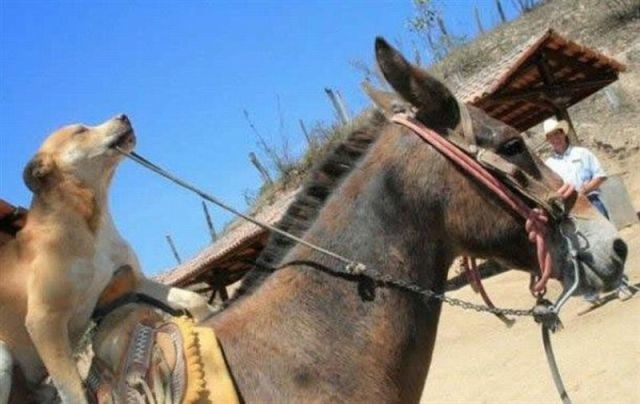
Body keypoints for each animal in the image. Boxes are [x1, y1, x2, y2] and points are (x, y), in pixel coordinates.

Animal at [0, 115, 214, 403]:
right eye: (80, 131)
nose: (124, 115)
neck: (88, 224)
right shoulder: (43, 320)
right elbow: (73, 389)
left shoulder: (135, 280)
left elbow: (192, 298)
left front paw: (206, 320)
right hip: (3, 356)